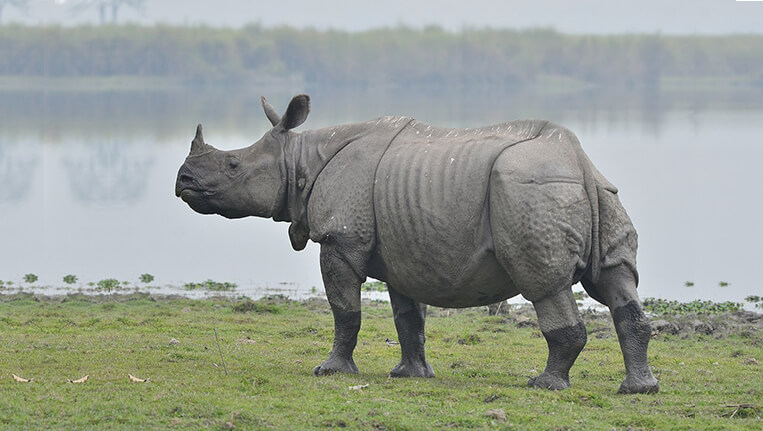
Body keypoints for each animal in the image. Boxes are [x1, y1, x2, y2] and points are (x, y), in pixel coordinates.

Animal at [175, 94, 656, 394]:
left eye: (233, 165)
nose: (183, 181)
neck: (300, 160)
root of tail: (578, 163)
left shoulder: (340, 240)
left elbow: (345, 312)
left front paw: (329, 371)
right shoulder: (404, 248)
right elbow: (408, 318)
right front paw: (410, 375)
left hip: (529, 191)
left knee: (544, 284)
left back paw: (544, 385)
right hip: (597, 192)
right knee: (616, 282)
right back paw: (638, 390)